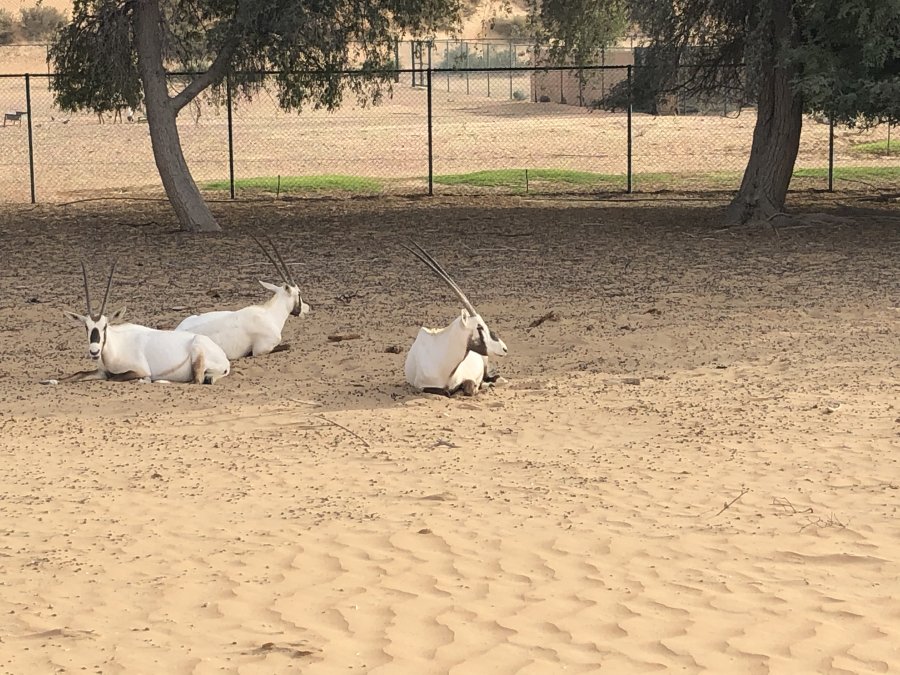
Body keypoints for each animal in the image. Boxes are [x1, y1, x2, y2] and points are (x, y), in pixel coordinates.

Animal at [59, 262, 231, 384]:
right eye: (86, 327)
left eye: (105, 326)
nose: (94, 352)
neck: (115, 346)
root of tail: (224, 359)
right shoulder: (101, 371)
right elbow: (79, 373)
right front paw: (54, 381)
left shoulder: (139, 370)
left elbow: (112, 378)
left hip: (197, 352)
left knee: (196, 381)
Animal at [402, 242, 508, 397]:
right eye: (479, 326)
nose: (504, 348)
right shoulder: (421, 386)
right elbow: (446, 392)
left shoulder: (467, 377)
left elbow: (470, 388)